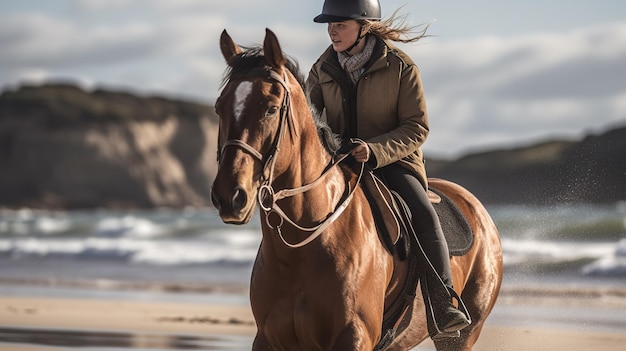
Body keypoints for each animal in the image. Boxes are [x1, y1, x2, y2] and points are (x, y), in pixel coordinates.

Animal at [210, 28, 502, 351]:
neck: (304, 247)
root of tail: (475, 207)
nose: (230, 196)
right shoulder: (268, 339)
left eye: (271, 109)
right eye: (219, 107)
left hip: (462, 335)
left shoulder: (354, 336)